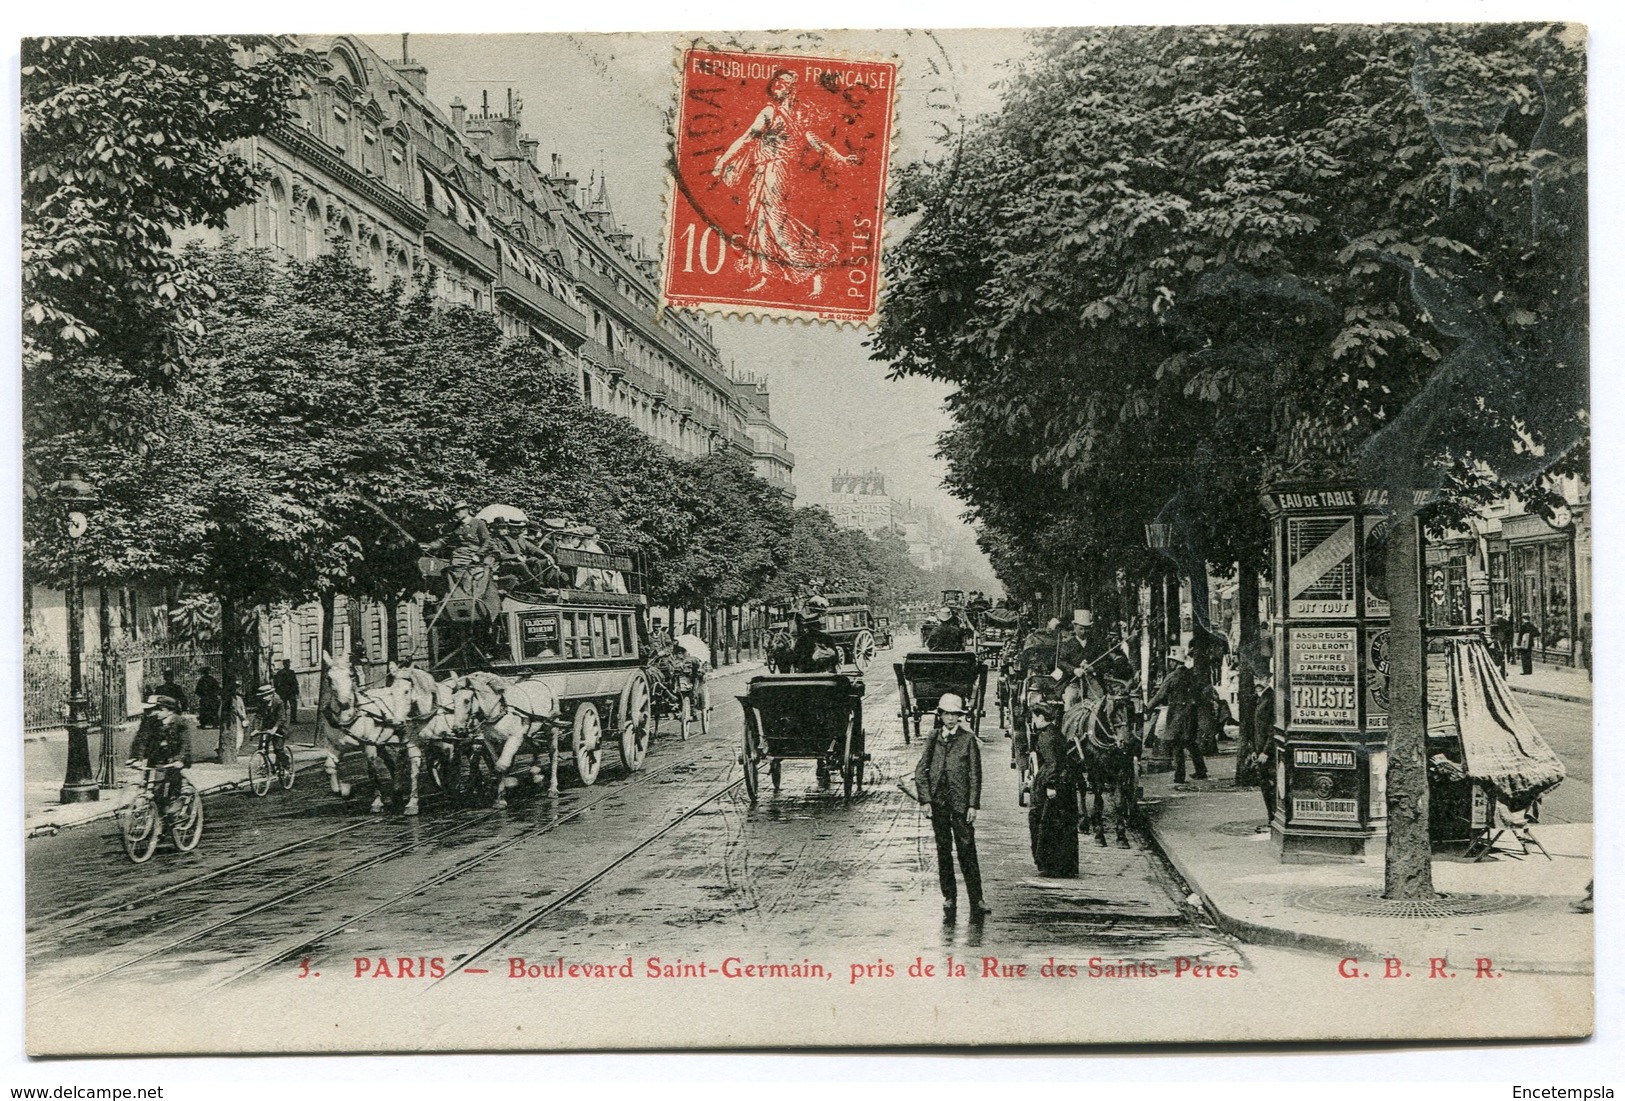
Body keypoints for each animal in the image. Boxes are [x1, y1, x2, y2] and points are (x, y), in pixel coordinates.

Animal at [318, 652, 425, 815]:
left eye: (350, 675)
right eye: (329, 678)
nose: (344, 703)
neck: (348, 717)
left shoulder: (369, 745)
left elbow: (372, 771)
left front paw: (377, 802)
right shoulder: (336, 746)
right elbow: (329, 767)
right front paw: (344, 789)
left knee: (404, 758)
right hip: (382, 741)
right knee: (393, 761)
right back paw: (397, 790)